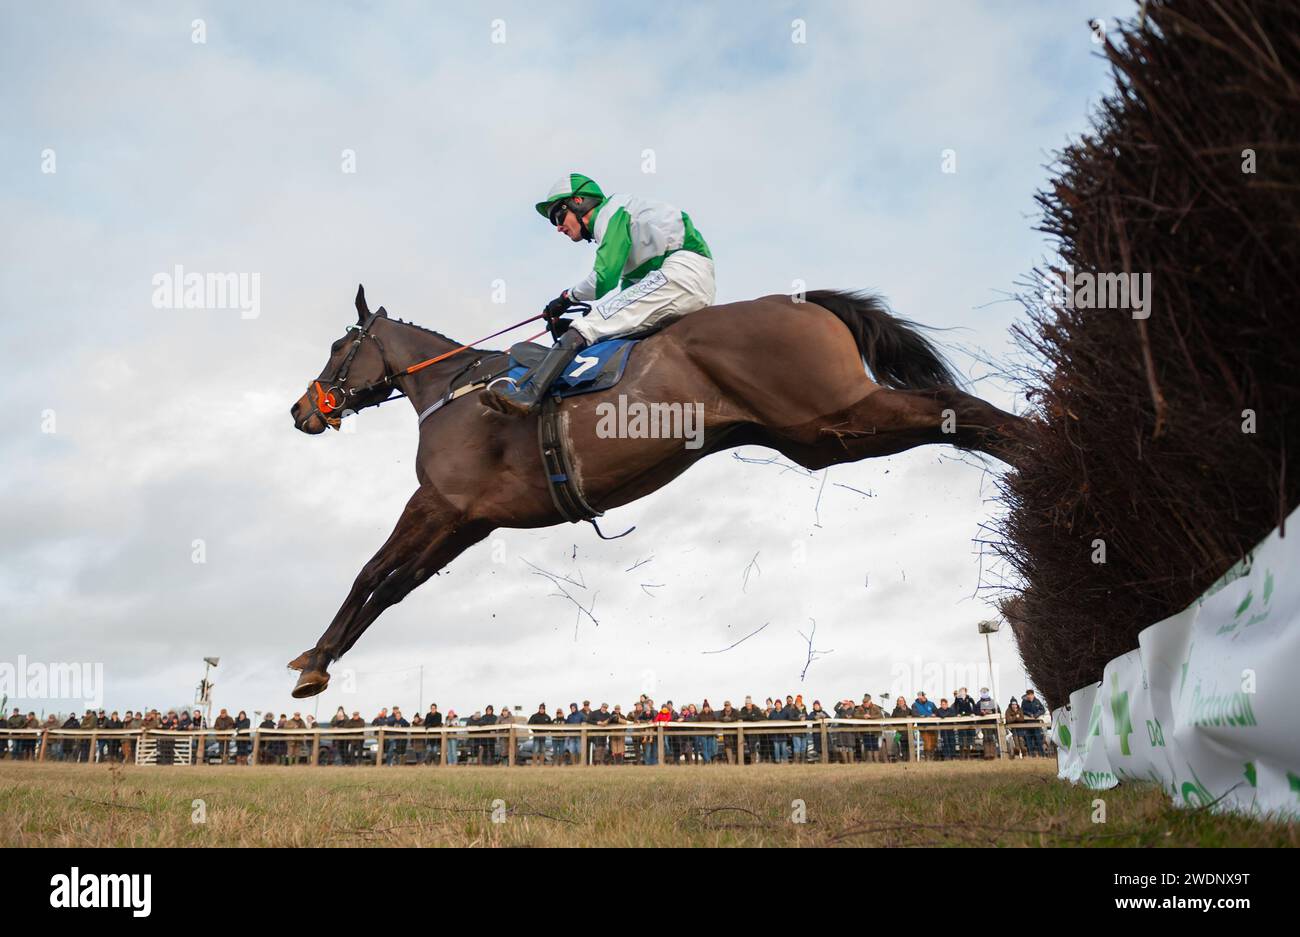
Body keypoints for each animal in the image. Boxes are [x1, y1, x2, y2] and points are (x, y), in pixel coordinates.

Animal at [287, 284, 1024, 696]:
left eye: (337, 347)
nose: (301, 410)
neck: (454, 392)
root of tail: (807, 301)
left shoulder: (437, 504)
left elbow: (369, 572)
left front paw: (314, 656)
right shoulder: (466, 522)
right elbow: (395, 587)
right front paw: (325, 660)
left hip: (834, 412)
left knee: (956, 408)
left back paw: (1038, 445)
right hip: (823, 436)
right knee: (955, 419)